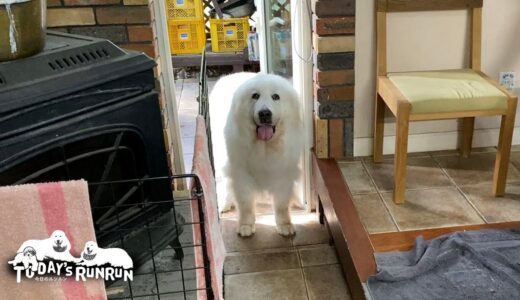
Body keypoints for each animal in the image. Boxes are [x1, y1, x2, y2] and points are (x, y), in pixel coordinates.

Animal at [209, 72, 302, 237]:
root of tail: (229, 75)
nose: (264, 113)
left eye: (276, 96)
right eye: (255, 96)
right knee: (226, 183)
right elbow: (245, 204)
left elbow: (282, 204)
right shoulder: (241, 174)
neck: (265, 147)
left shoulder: (284, 174)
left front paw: (285, 224)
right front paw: (245, 225)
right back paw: (225, 203)